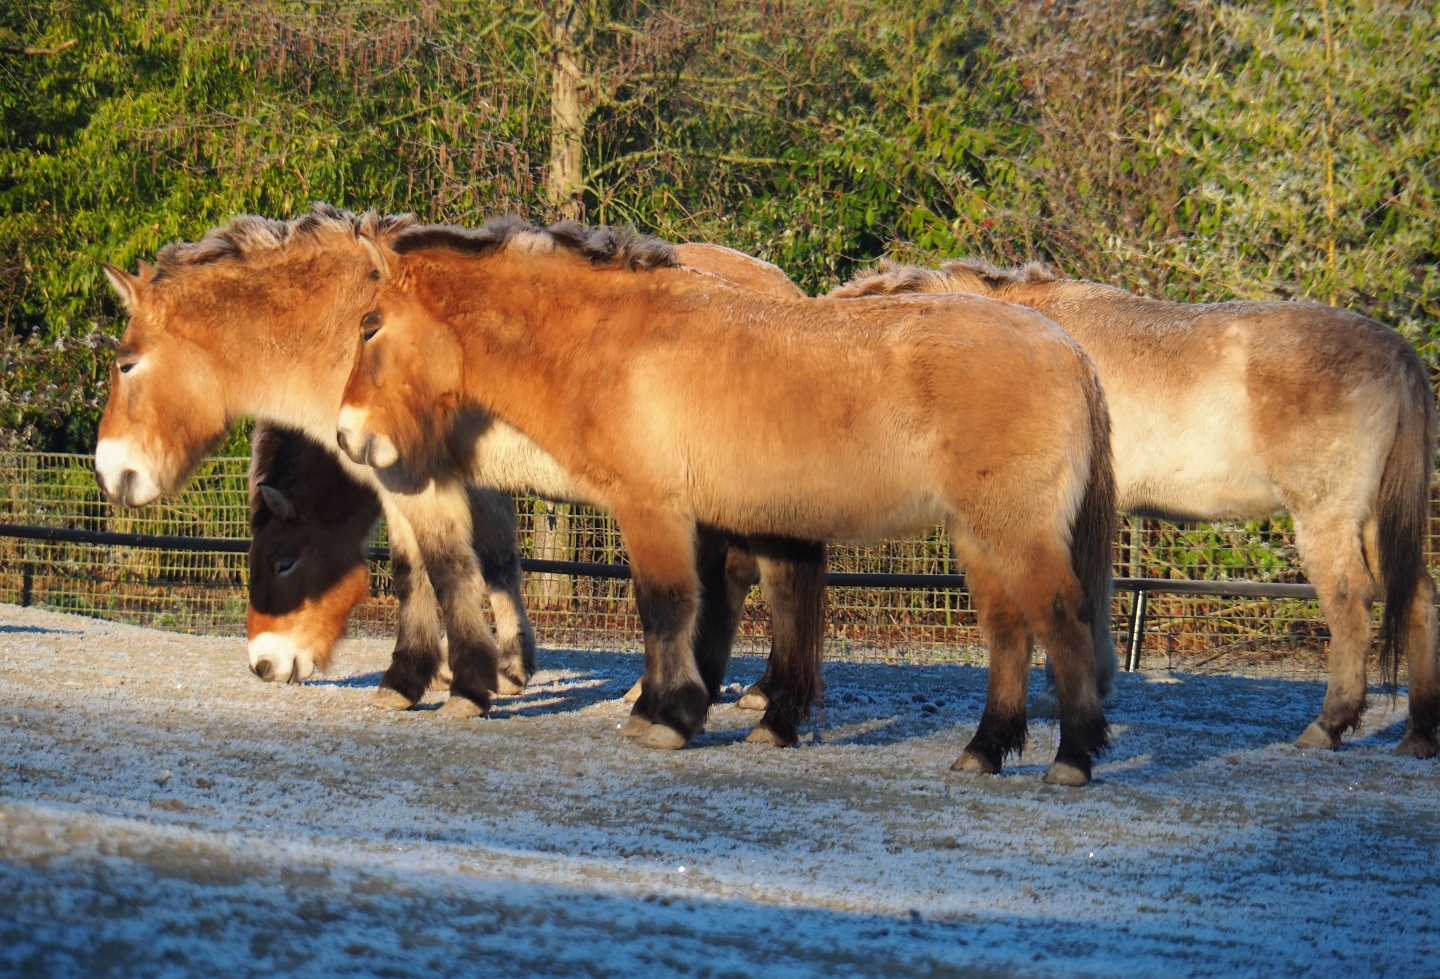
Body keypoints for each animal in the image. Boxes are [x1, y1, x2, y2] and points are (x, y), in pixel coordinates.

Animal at [336, 216, 1118, 785]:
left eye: (371, 324)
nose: (348, 434)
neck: (619, 341)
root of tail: (1069, 350)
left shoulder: (653, 509)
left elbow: (666, 606)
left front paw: (667, 716)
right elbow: (700, 607)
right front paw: (679, 709)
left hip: (1014, 533)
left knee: (1062, 618)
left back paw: (1072, 756)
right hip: (979, 538)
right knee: (1009, 631)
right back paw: (985, 749)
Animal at [831, 258, 1440, 758]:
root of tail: (1399, 353)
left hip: (1326, 518)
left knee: (1350, 602)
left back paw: (1329, 724)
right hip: (1373, 522)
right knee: (1415, 595)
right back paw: (1419, 733)